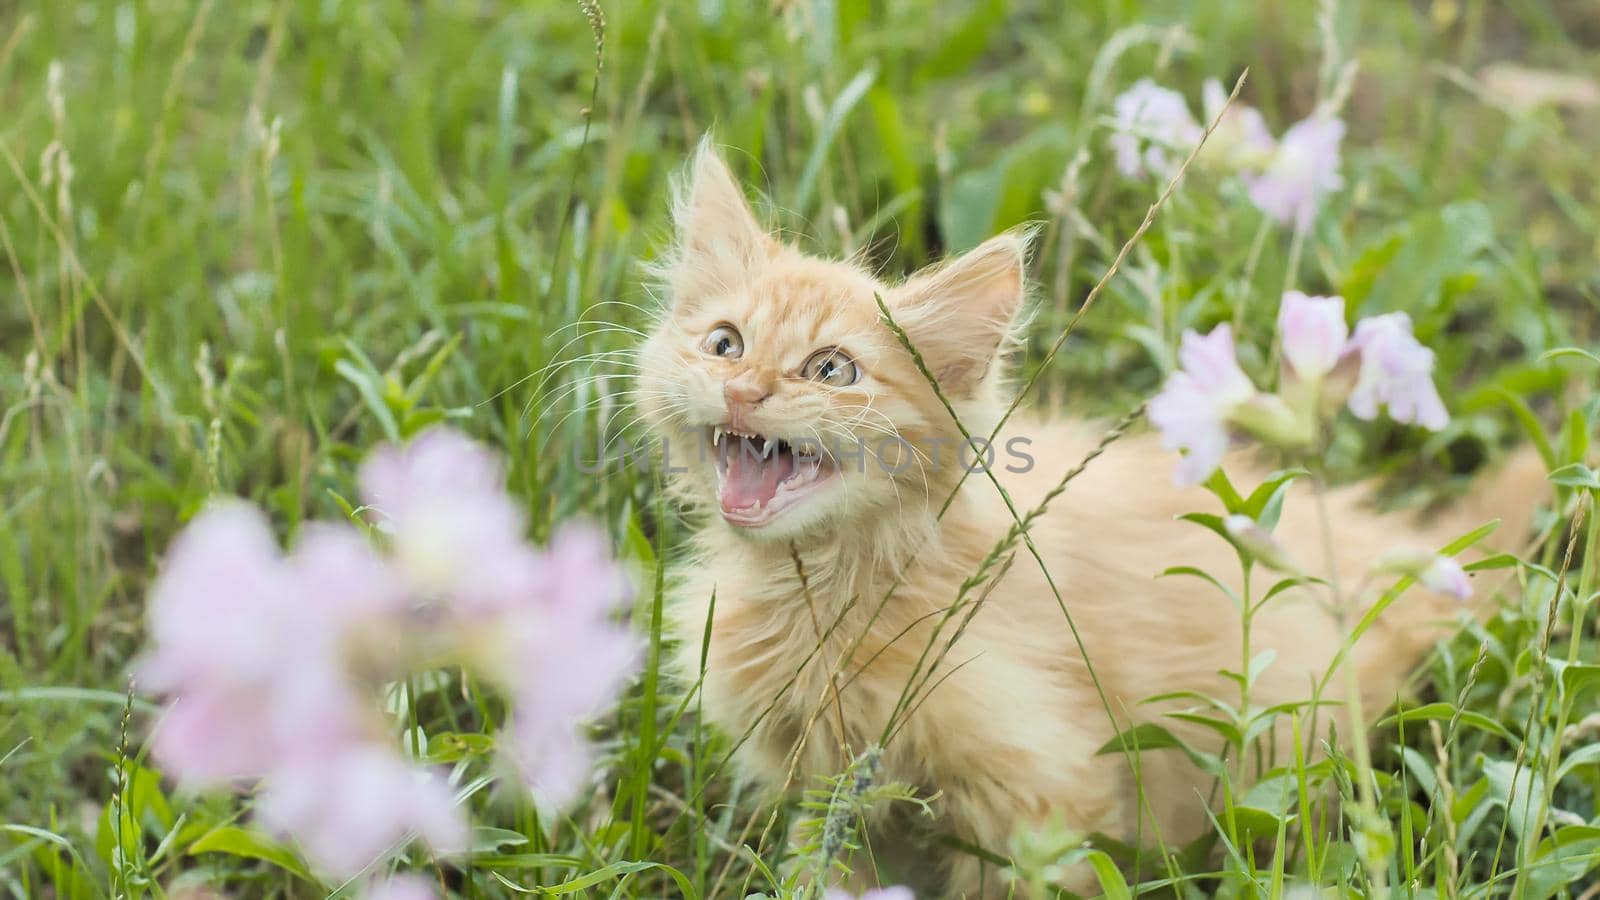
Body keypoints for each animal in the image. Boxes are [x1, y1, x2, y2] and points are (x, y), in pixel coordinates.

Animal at [633, 143, 1536, 890]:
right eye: (725, 344)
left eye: (831, 369)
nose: (744, 390)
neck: (827, 590)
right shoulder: (833, 797)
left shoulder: (1041, 796)